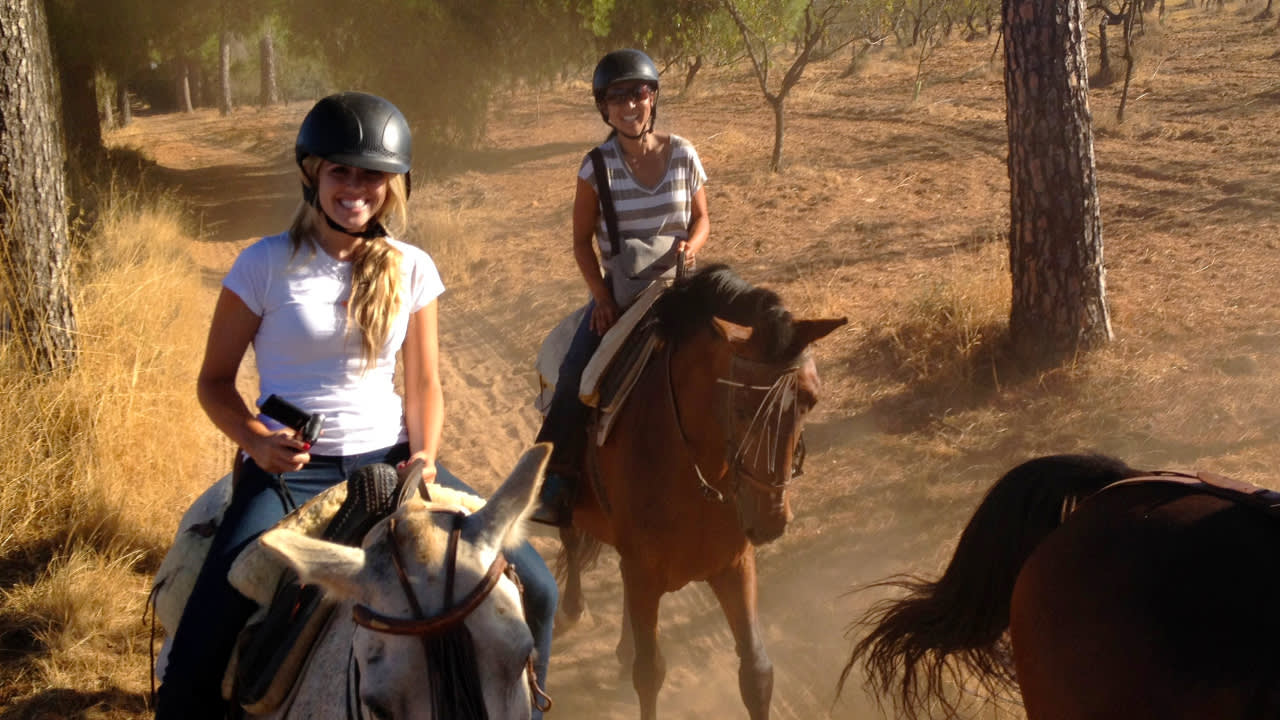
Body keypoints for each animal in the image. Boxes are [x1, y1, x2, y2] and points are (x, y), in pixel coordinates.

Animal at [557, 265, 846, 720]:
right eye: (741, 407)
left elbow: (756, 672)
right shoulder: (644, 573)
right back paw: (571, 609)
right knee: (569, 538)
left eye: (811, 401)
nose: (770, 520)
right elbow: (650, 674)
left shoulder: (733, 566)